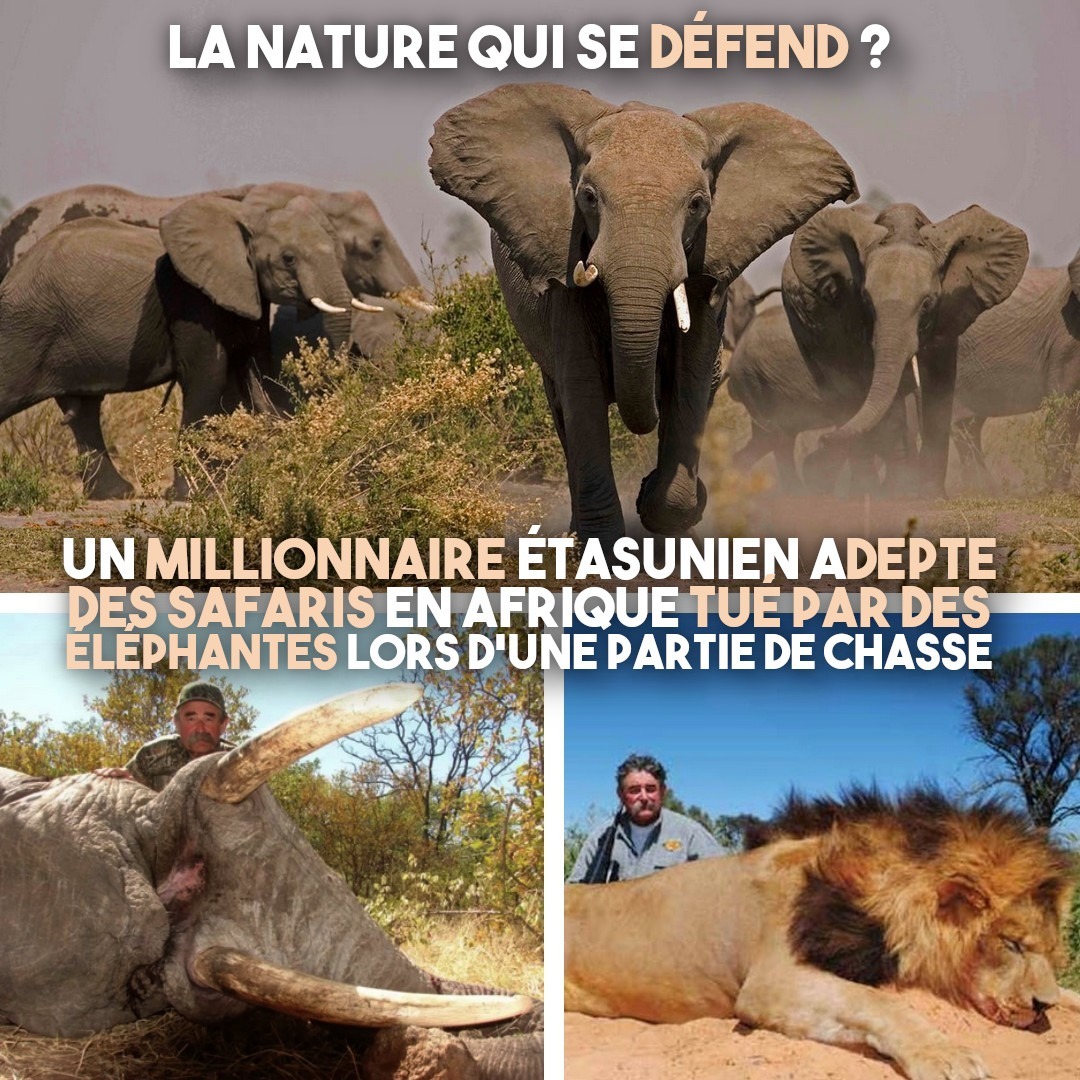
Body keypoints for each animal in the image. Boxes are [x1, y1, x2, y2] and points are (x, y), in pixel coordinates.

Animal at [0, 181, 426, 487]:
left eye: (340, 251)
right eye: (373, 245)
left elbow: (244, 378)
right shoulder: (199, 299)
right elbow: (215, 378)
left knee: (83, 407)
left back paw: (115, 494)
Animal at [428, 83, 857, 546]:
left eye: (697, 205)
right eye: (588, 197)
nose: (645, 485)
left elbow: (689, 378)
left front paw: (667, 514)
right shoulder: (565, 266)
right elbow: (581, 386)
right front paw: (606, 545)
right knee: (561, 403)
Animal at [564, 786, 1078, 1080]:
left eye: (1051, 950)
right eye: (1011, 945)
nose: (1042, 1006)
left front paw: (1064, 999)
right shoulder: (769, 983)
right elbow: (878, 1002)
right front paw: (948, 1056)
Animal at [725, 202, 1029, 494]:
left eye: (927, 303)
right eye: (867, 301)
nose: (822, 443)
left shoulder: (950, 309)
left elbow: (939, 384)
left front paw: (928, 494)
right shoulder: (849, 313)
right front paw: (896, 493)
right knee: (830, 401)